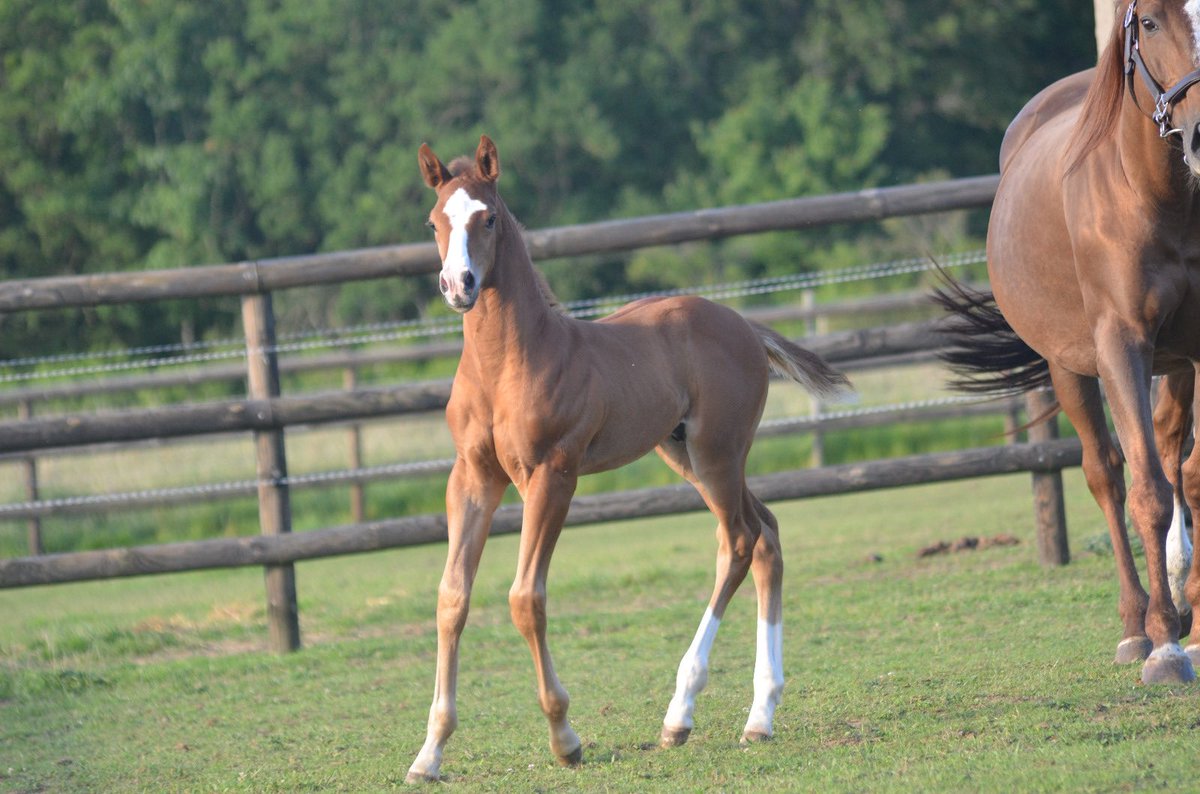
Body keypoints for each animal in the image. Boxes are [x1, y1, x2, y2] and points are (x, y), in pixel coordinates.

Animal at [404, 135, 850, 782]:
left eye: (487, 218)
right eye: (435, 221)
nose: (458, 284)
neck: (507, 362)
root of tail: (744, 323)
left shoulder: (552, 476)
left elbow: (525, 598)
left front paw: (565, 738)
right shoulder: (473, 477)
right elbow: (451, 598)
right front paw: (429, 752)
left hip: (717, 453)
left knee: (739, 540)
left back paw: (680, 714)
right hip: (685, 453)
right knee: (765, 533)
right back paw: (758, 716)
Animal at [936, 0, 1200, 685]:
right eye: (1151, 22)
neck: (1161, 195)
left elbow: (1186, 476)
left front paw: (1187, 612)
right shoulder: (1121, 347)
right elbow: (1146, 491)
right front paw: (1164, 646)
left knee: (1171, 453)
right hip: (1070, 366)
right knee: (1107, 473)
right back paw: (1138, 626)